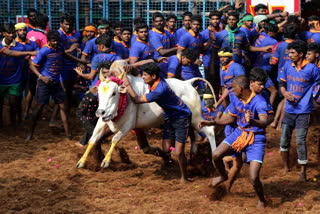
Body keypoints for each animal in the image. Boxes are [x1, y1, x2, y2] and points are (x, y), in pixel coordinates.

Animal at [77, 60, 218, 169]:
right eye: (99, 93)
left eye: (113, 93)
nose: (100, 112)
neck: (123, 99)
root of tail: (187, 83)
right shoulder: (103, 121)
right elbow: (92, 139)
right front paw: (82, 161)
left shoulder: (128, 125)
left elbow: (115, 139)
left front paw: (106, 161)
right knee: (192, 134)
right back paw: (191, 156)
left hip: (196, 118)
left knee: (210, 130)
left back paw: (214, 158)